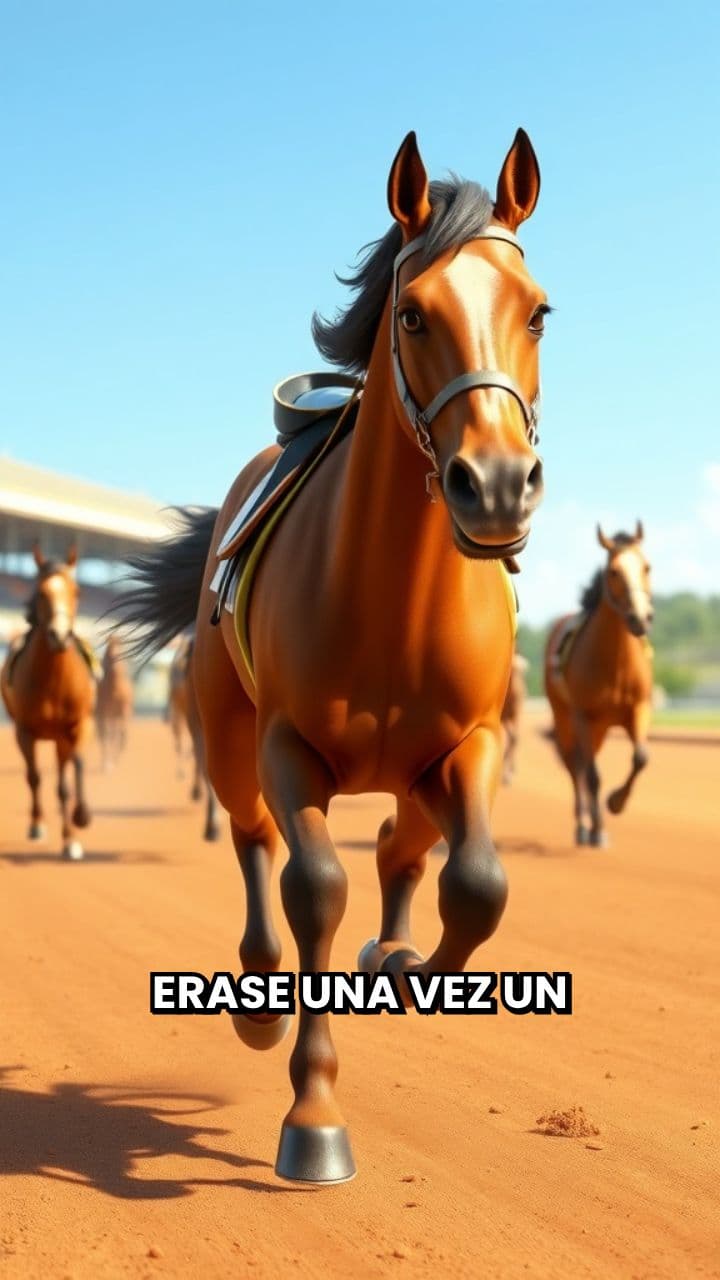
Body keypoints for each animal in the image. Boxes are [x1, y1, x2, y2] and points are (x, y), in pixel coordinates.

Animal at [1, 546, 95, 860]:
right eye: (42, 593)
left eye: (77, 591)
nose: (60, 635)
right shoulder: (24, 731)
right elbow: (34, 777)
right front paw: (37, 826)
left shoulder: (77, 726)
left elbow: (71, 775)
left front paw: (76, 830)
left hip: (60, 738)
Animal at [96, 635, 133, 770]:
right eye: (108, 647)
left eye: (120, 644)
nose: (115, 658)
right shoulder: (104, 713)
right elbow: (106, 735)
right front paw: (107, 764)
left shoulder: (124, 711)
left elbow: (122, 734)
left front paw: (116, 758)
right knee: (105, 735)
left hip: (116, 717)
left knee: (116, 734)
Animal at [544, 523, 654, 847]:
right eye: (614, 571)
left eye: (647, 567)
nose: (641, 618)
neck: (616, 666)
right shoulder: (583, 715)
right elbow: (592, 775)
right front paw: (597, 828)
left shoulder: (638, 708)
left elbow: (641, 757)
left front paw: (615, 803)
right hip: (567, 719)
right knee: (575, 767)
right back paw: (584, 826)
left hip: (601, 729)